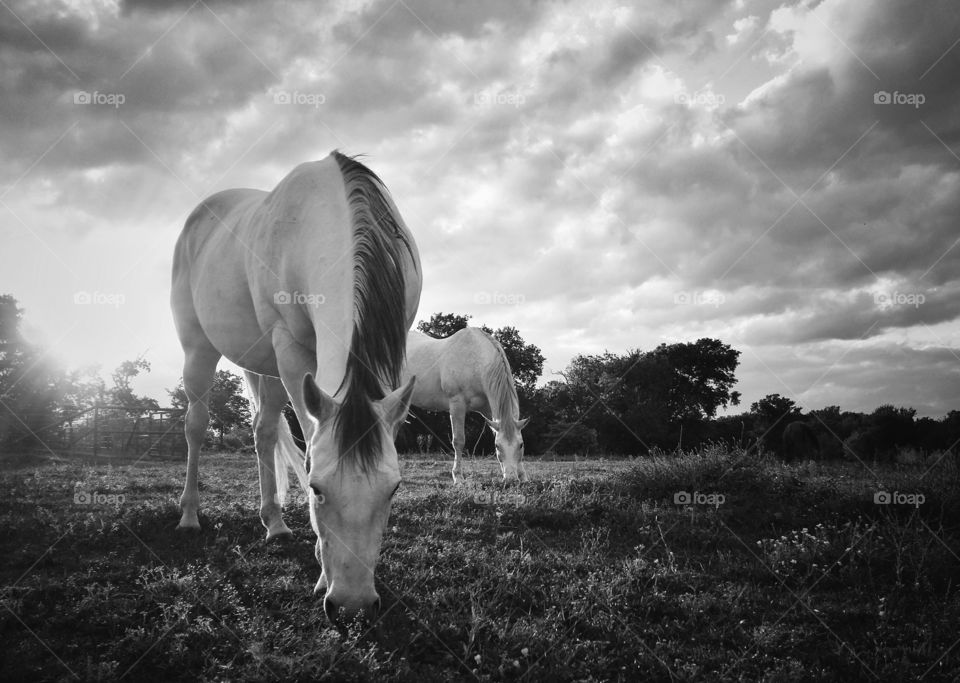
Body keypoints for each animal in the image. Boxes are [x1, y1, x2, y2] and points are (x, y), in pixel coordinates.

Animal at [168, 151, 420, 624]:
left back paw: (275, 523)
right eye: (316, 488)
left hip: (265, 367)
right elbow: (307, 438)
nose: (353, 606)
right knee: (196, 425)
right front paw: (322, 573)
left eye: (394, 489)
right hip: (199, 350)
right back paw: (189, 516)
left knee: (263, 431)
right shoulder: (290, 348)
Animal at [402, 328, 528, 484]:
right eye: (497, 446)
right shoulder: (457, 405)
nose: (511, 480)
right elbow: (459, 441)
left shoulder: (489, 411)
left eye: (521, 445)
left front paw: (523, 476)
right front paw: (458, 477)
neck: (475, 361)